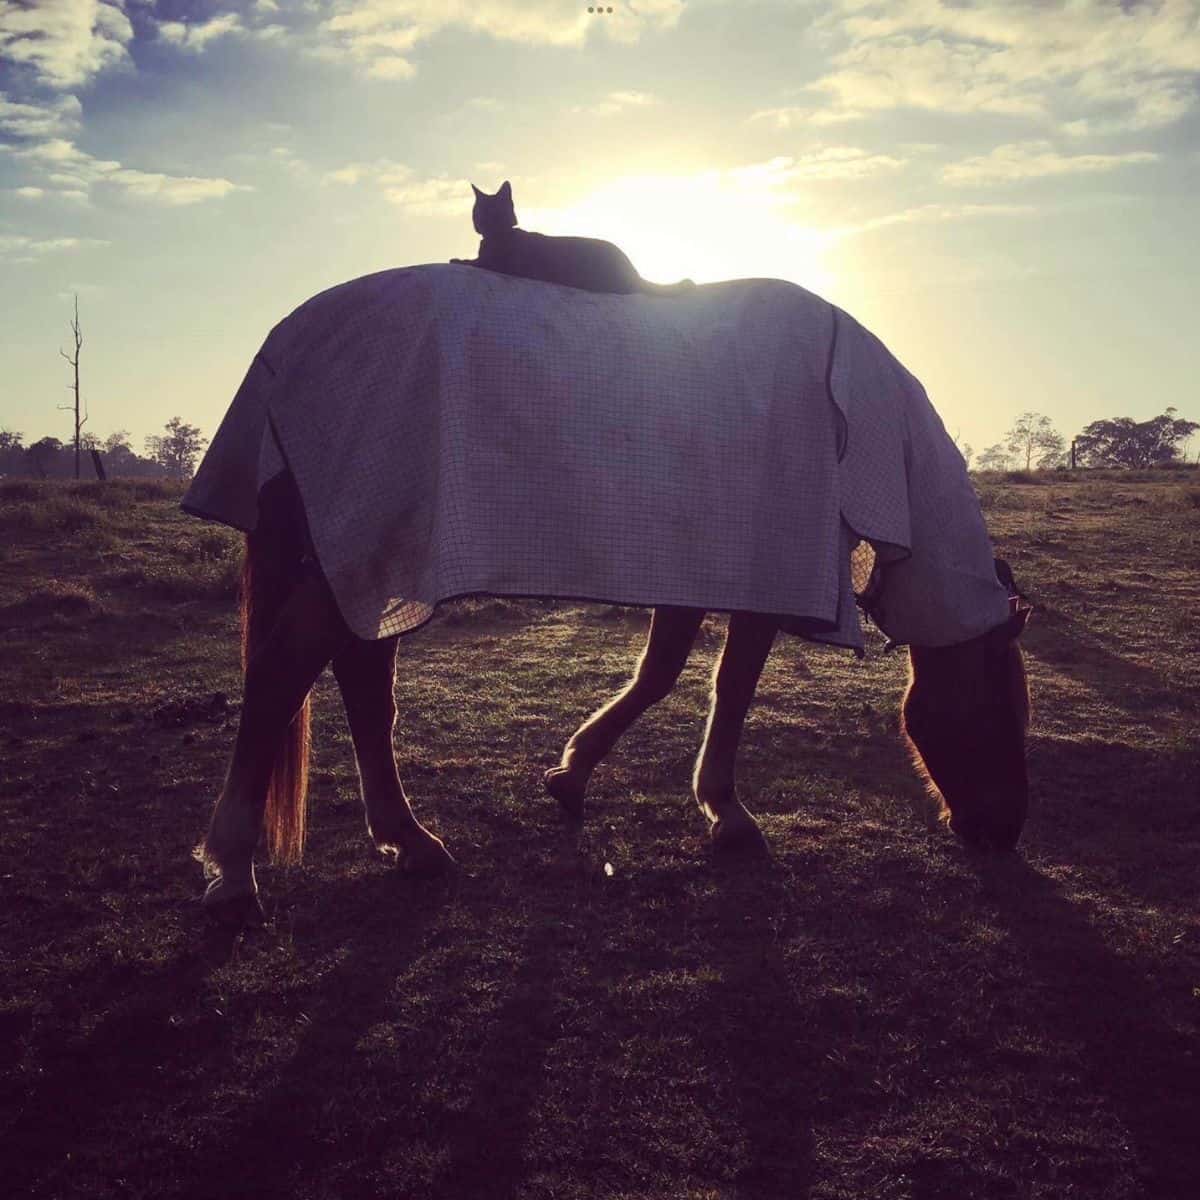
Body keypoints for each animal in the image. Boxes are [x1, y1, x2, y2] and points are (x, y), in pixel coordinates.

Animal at [199, 472, 1032, 931]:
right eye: (1002, 711)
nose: (1002, 834)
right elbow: (718, 683)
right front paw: (724, 812)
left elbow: (668, 673)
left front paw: (572, 775)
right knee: (281, 674)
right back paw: (234, 877)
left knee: (362, 683)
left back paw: (407, 841)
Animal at [448, 180, 696, 297]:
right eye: (479, 211)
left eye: (494, 211)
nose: (482, 222)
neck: (498, 235)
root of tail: (634, 272)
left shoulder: (506, 266)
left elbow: (481, 263)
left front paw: (460, 260)